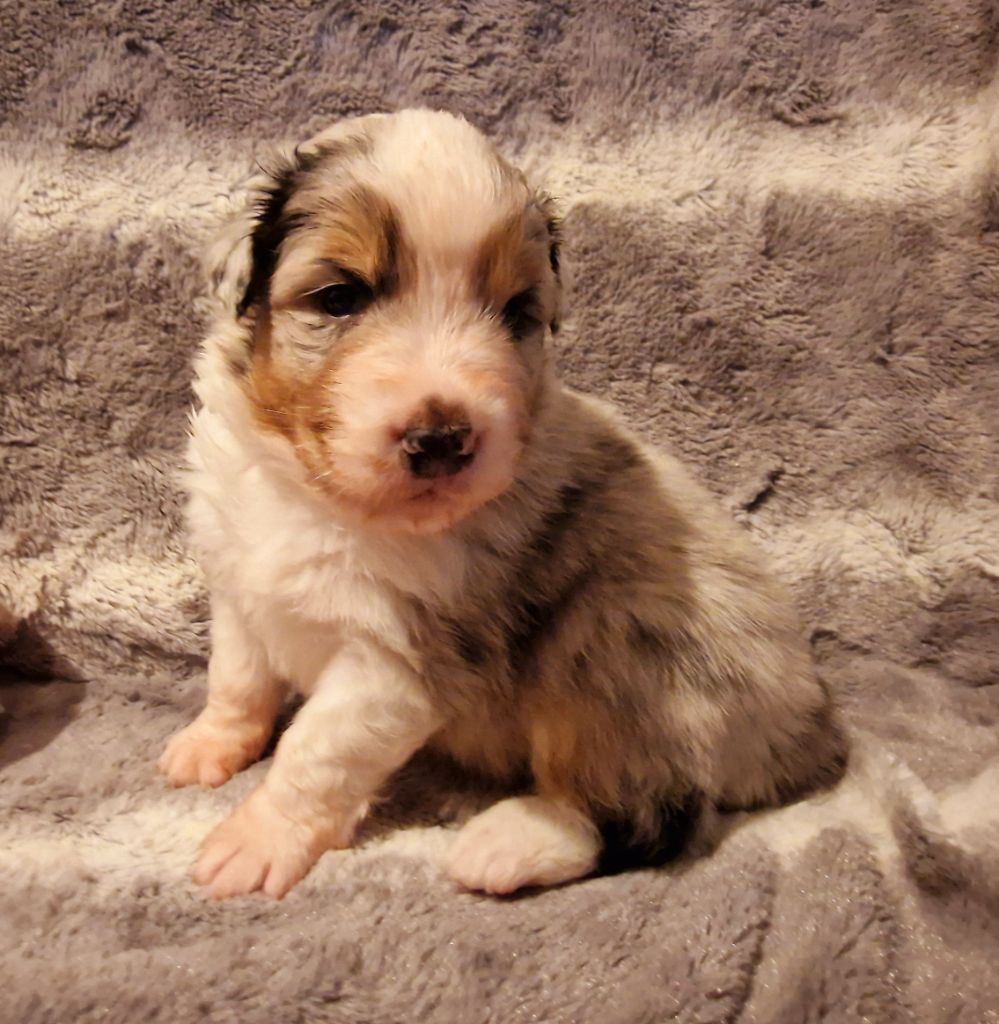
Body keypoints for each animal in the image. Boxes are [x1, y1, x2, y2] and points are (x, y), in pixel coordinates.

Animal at [157, 108, 843, 901]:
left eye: (515, 311)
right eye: (339, 297)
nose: (442, 438)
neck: (318, 500)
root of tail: (807, 729)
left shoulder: (398, 661)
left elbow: (316, 752)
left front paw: (255, 841)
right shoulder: (237, 579)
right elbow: (236, 677)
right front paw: (206, 747)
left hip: (617, 654)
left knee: (648, 811)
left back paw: (503, 844)